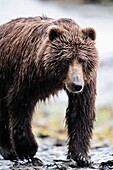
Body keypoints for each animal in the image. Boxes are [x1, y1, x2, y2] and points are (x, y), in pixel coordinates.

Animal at [0, 16, 98, 167]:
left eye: (83, 60)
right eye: (66, 60)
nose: (76, 85)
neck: (52, 77)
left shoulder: (87, 81)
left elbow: (81, 111)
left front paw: (82, 156)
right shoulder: (27, 76)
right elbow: (20, 105)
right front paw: (28, 149)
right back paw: (9, 151)